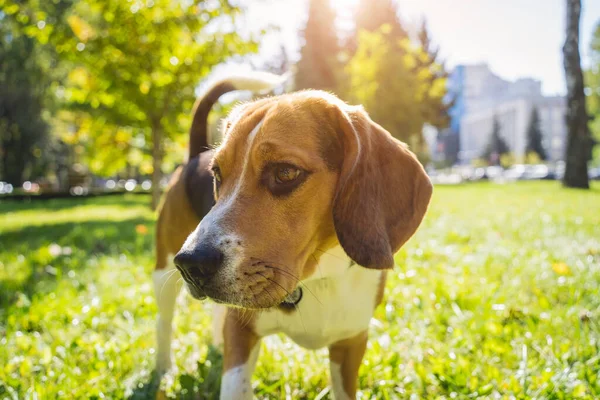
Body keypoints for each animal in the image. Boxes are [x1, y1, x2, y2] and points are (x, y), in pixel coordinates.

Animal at [152, 73, 434, 398]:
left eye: (285, 172)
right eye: (218, 175)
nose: (190, 264)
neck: (318, 278)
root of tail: (193, 155)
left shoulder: (351, 343)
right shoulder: (241, 332)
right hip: (163, 273)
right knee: (164, 321)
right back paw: (163, 369)